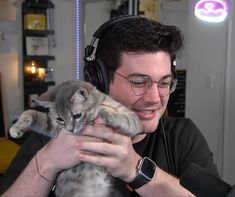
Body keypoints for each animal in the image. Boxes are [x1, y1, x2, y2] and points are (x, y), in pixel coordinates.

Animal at [9, 79, 142, 197]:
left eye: (77, 115)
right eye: (60, 119)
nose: (70, 130)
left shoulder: (132, 118)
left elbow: (126, 120)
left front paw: (106, 113)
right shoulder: (54, 127)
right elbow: (31, 113)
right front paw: (16, 128)